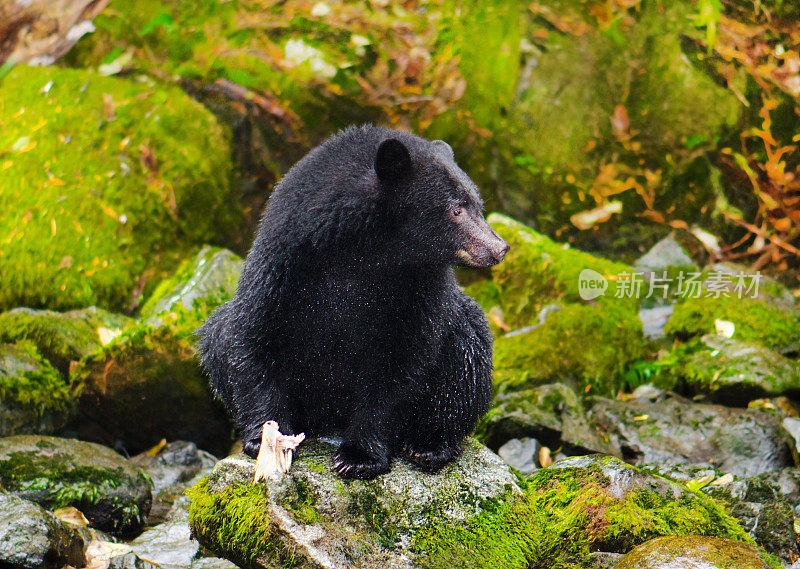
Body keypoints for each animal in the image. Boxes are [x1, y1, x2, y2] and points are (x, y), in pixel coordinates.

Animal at [198, 125, 510, 480]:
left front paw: (359, 456)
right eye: (456, 208)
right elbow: (252, 339)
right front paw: (264, 439)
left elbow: (401, 364)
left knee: (465, 359)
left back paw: (430, 445)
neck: (365, 252)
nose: (500, 247)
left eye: (478, 204)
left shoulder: (422, 288)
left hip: (461, 329)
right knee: (217, 336)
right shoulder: (281, 266)